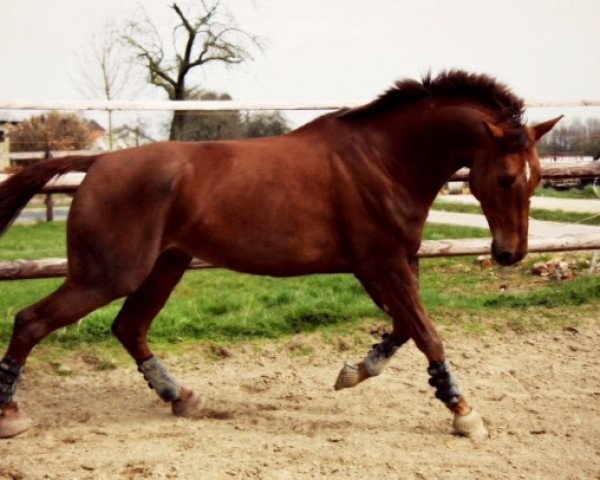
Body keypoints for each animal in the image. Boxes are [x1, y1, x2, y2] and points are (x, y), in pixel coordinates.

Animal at [1, 71, 564, 438]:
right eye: (507, 177)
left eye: (538, 176)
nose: (510, 254)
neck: (384, 159)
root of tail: (96, 163)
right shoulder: (380, 263)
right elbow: (427, 333)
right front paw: (464, 412)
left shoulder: (394, 264)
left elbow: (405, 329)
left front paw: (354, 371)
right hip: (108, 274)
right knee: (31, 320)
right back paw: (11, 415)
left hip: (165, 266)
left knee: (129, 327)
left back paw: (182, 397)